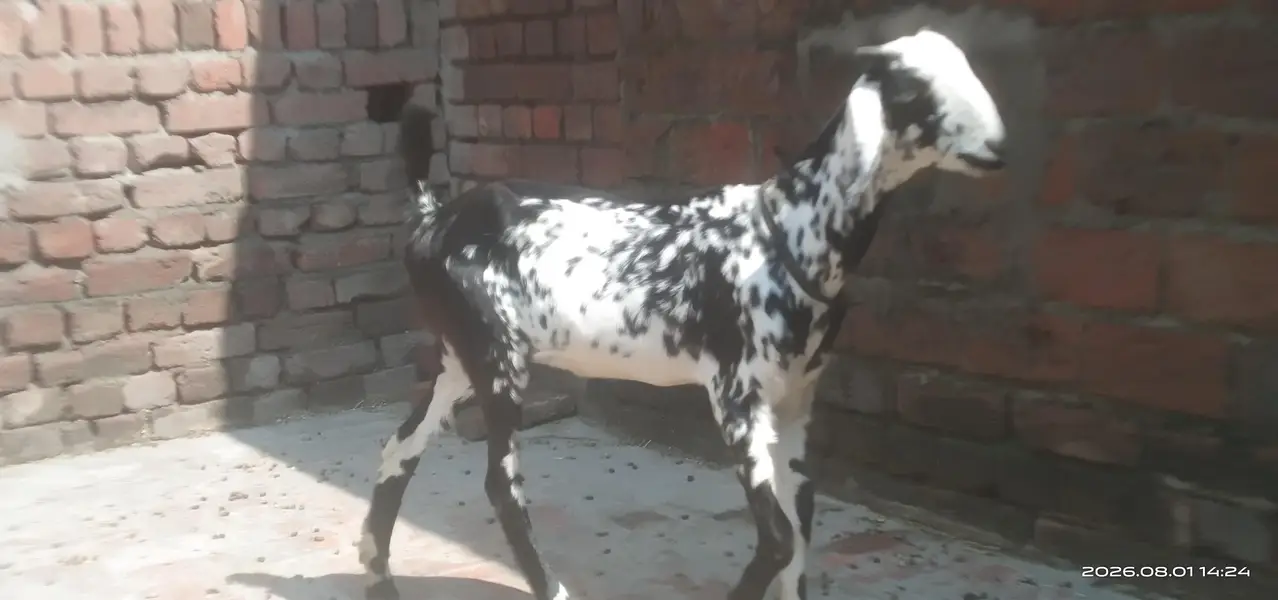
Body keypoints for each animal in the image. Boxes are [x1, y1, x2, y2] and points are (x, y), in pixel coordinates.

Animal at [359, 28, 1007, 600]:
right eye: (915, 86)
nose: (997, 147)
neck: (786, 231)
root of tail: (433, 220)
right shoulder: (738, 400)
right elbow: (777, 541)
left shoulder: (796, 405)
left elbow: (799, 532)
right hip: (499, 361)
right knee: (501, 485)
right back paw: (550, 588)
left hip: (459, 360)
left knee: (401, 449)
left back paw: (379, 576)